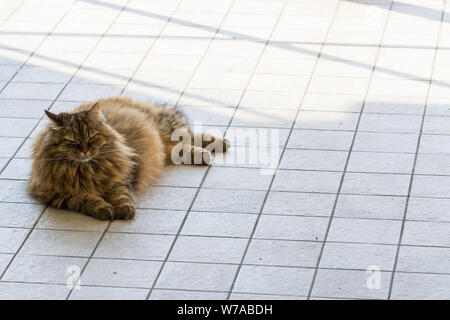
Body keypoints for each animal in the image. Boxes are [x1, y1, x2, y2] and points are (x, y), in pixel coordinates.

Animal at [28, 95, 230, 220]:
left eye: (92, 138)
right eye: (72, 142)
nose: (85, 151)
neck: (87, 169)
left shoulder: (121, 177)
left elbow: (121, 195)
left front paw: (124, 210)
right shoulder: (56, 195)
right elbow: (86, 199)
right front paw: (104, 209)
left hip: (165, 130)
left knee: (189, 135)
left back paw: (218, 145)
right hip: (167, 145)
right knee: (180, 147)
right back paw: (206, 153)